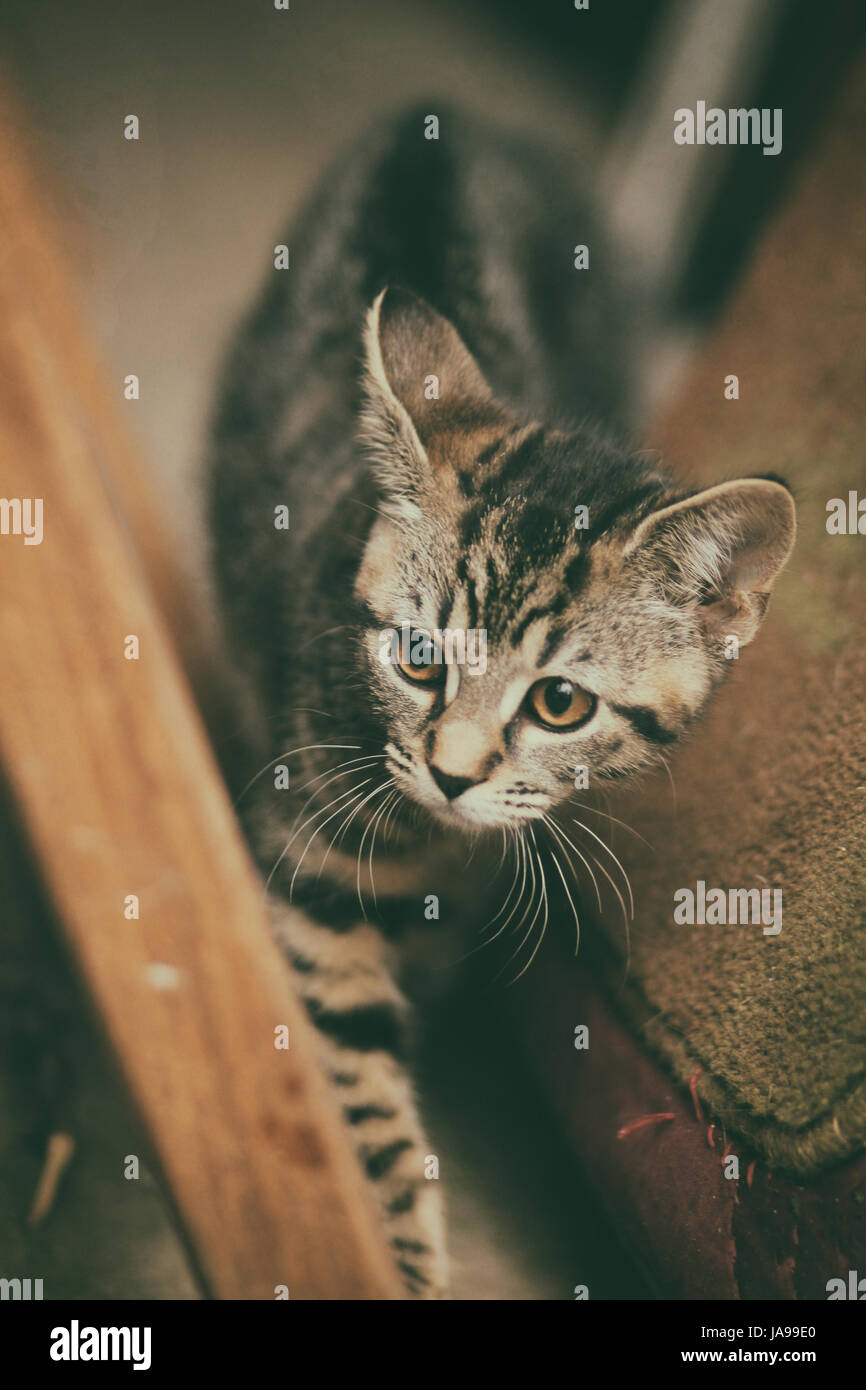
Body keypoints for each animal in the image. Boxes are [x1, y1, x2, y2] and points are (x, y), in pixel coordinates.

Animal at [208, 105, 795, 1289]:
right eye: (418, 656)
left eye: (560, 703)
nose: (447, 772)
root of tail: (437, 117)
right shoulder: (316, 846)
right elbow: (352, 1059)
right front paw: (396, 1255)